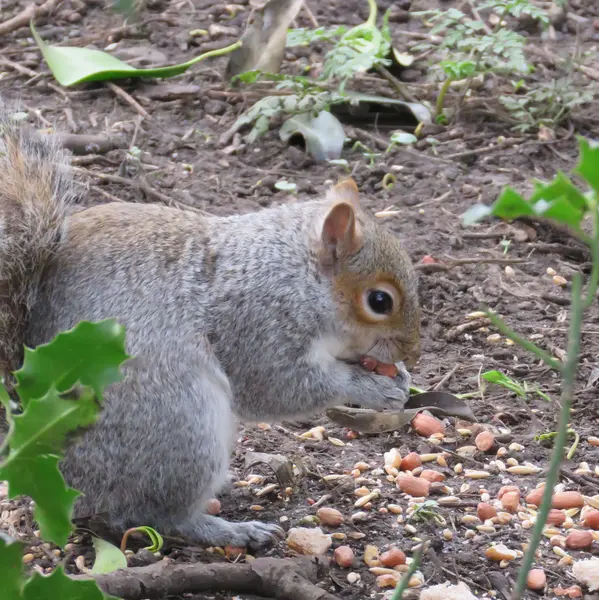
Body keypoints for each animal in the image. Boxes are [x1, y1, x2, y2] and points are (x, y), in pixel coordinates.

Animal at [0, 111, 422, 548]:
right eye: (379, 301)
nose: (413, 350)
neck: (294, 273)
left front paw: (398, 376)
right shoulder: (256, 323)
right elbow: (282, 386)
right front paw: (370, 387)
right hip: (179, 422)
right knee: (157, 516)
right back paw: (231, 530)